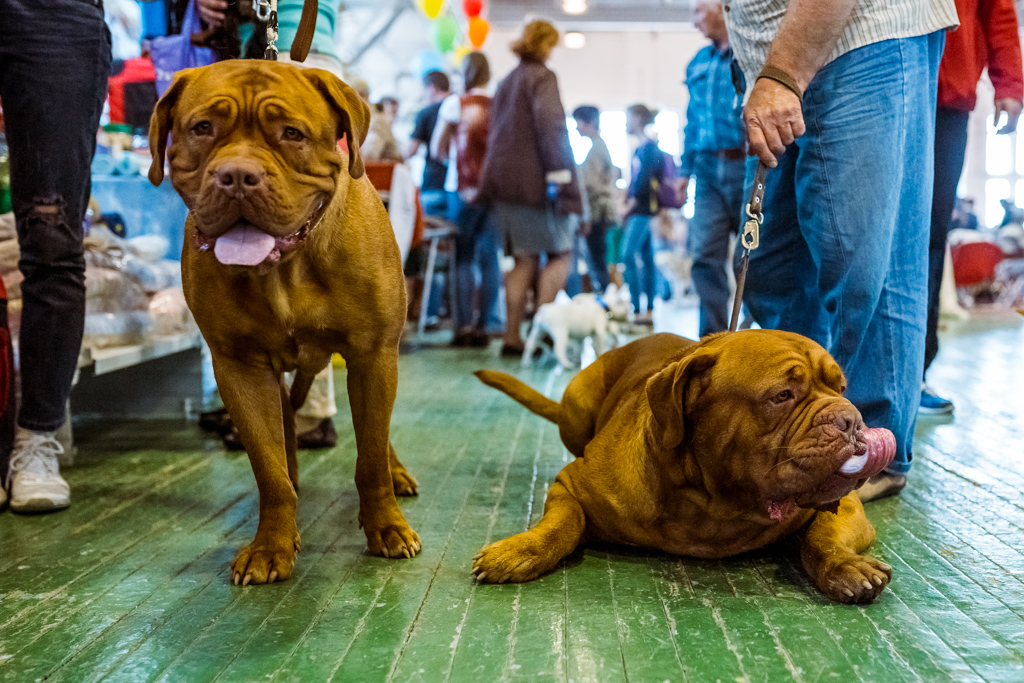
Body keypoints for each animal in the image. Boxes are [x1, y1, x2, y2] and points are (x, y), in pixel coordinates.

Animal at [146, 60, 417, 589]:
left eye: (292, 133)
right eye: (202, 128)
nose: (237, 175)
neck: (285, 270)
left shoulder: (372, 356)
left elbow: (370, 458)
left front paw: (386, 527)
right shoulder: (240, 368)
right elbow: (267, 466)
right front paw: (271, 545)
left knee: (379, 438)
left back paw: (396, 474)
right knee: (286, 432)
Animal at [473, 331, 897, 602]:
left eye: (841, 389)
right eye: (782, 395)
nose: (851, 419)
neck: (715, 504)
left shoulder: (846, 506)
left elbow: (823, 536)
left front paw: (846, 566)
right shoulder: (571, 484)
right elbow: (563, 523)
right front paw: (519, 550)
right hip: (577, 404)